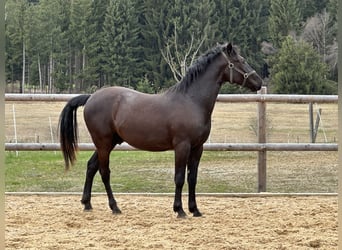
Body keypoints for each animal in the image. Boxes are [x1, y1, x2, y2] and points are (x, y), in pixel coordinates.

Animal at [58, 42, 264, 217]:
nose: (259, 81)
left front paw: (195, 210)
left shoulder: (198, 148)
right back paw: (114, 207)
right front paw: (179, 210)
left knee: (91, 167)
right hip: (104, 143)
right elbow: (179, 177)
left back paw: (87, 204)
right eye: (240, 61)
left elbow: (193, 178)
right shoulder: (182, 146)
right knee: (104, 172)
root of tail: (91, 97)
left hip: (108, 143)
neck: (192, 102)